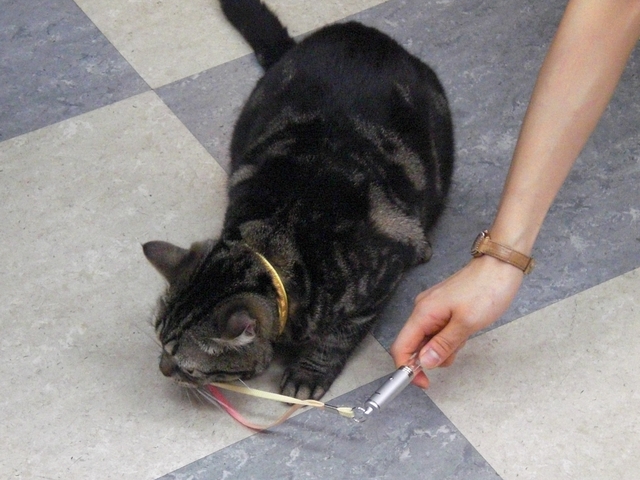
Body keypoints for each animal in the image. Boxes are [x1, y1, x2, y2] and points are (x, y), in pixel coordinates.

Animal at [143, 0, 454, 401]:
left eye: (187, 367)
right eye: (159, 342)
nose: (163, 370)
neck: (282, 231)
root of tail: (358, 32)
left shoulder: (377, 285)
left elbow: (337, 337)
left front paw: (309, 371)